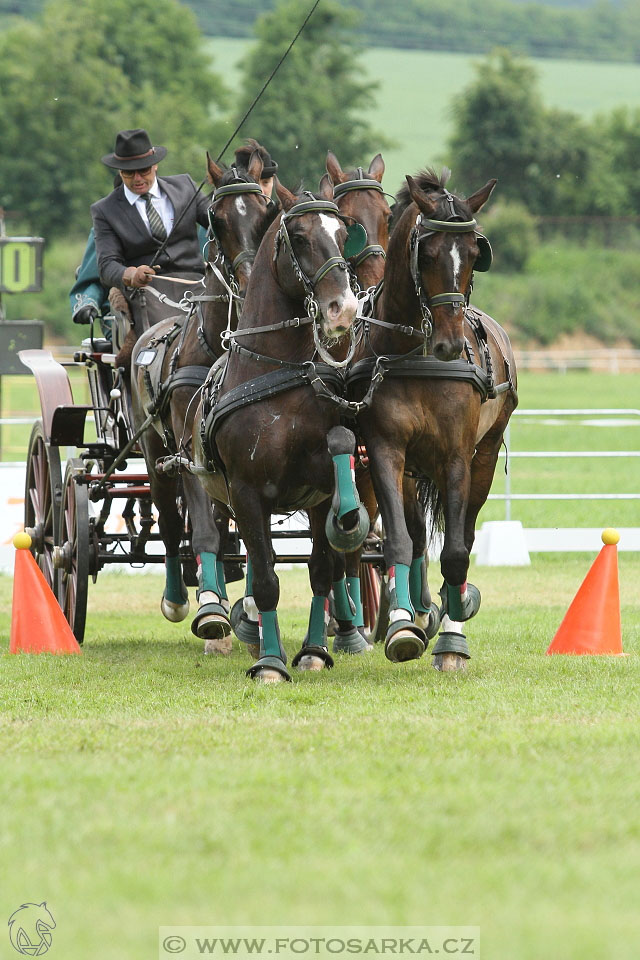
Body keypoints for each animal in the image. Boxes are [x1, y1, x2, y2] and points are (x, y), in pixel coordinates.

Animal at [131, 148, 280, 652]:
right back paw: (181, 598)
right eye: (217, 219)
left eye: (267, 213)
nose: (252, 281)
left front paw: (249, 610)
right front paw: (212, 607)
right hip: (155, 452)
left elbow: (248, 531)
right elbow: (202, 531)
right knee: (171, 523)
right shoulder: (189, 452)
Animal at [192, 178, 370, 684]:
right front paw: (270, 664)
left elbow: (322, 569)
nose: (344, 309)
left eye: (342, 234)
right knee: (233, 553)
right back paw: (228, 624)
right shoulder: (247, 493)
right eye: (302, 238)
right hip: (222, 499)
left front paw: (312, 652)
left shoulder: (321, 494)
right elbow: (268, 579)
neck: (278, 371)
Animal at [348, 169, 516, 672]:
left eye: (476, 254)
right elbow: (400, 543)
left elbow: (458, 551)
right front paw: (404, 625)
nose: (449, 343)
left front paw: (454, 635)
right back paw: (419, 613)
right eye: (427, 254)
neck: (416, 354)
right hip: (410, 471)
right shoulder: (385, 450)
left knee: (464, 535)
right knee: (418, 539)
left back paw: (450, 614)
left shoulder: (457, 455)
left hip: (482, 457)